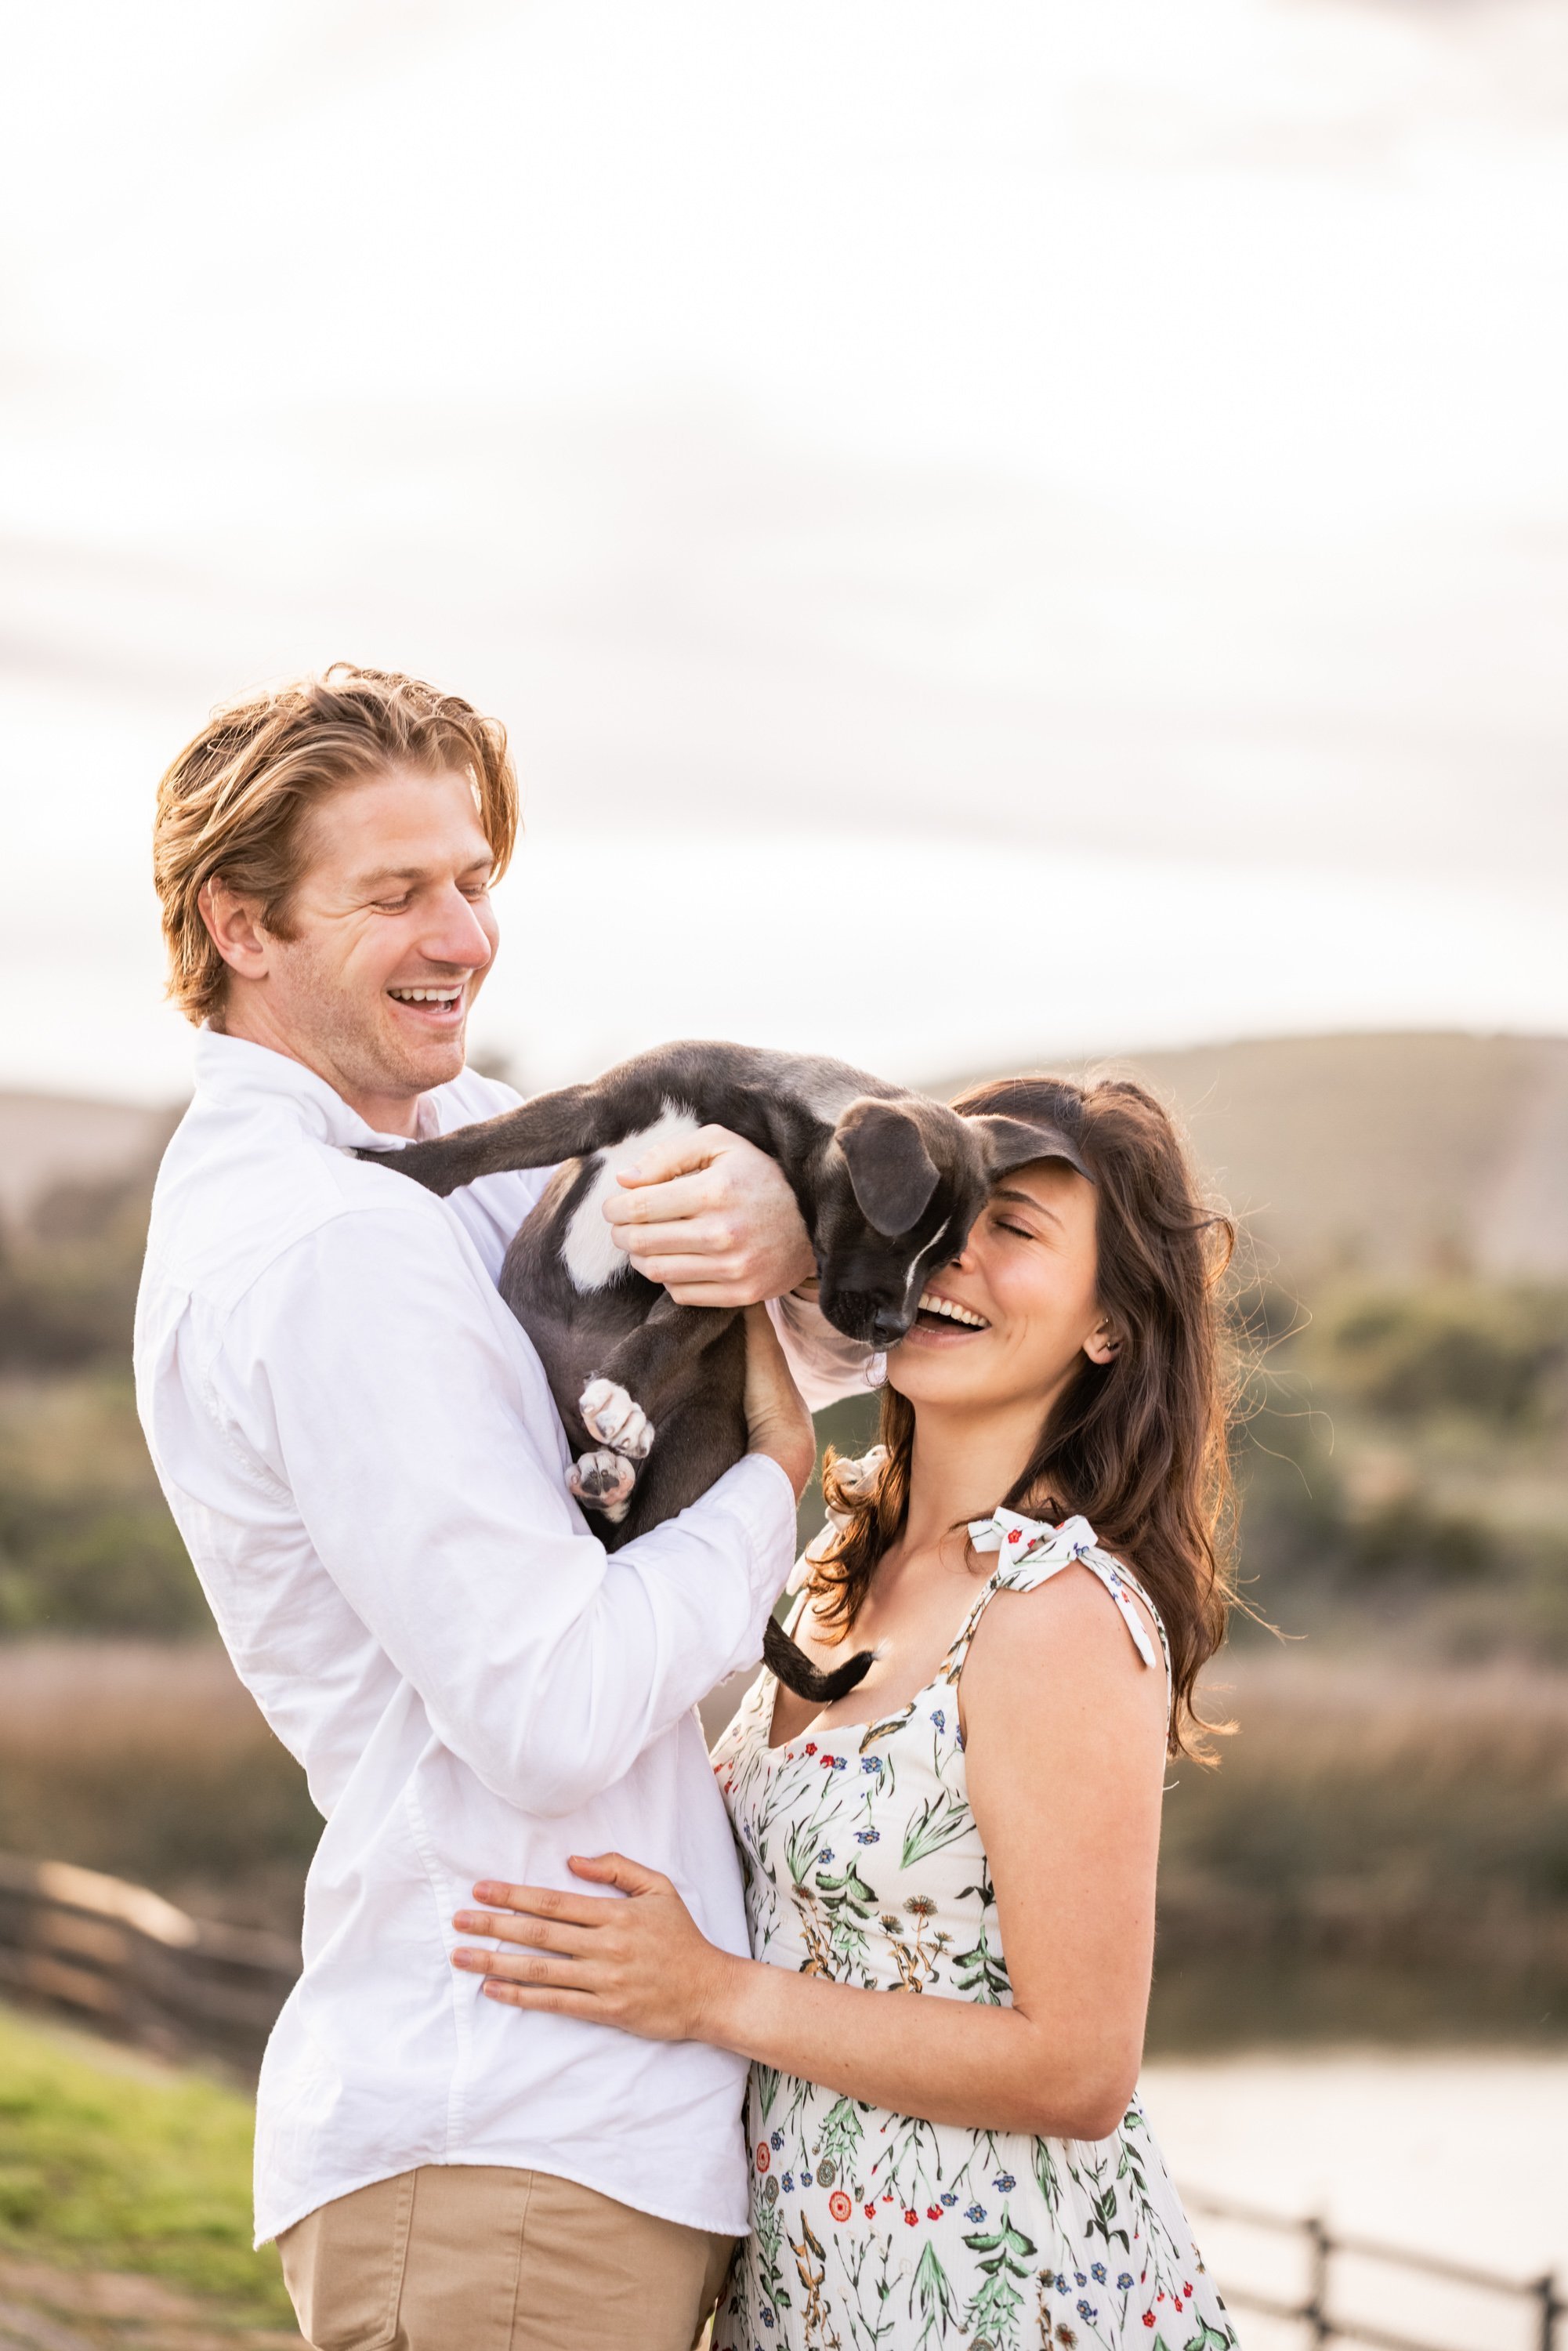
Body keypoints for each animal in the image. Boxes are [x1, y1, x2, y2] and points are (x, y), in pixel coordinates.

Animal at [362, 1039, 987, 1702]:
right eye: (894, 1239)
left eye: (945, 1262)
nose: (894, 1329)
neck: (746, 1113)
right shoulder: (595, 1107)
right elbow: (485, 1140)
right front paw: (398, 1166)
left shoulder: (719, 1269)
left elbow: (665, 1333)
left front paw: (618, 1394)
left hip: (696, 1441)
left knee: (631, 1541)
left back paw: (612, 1475)